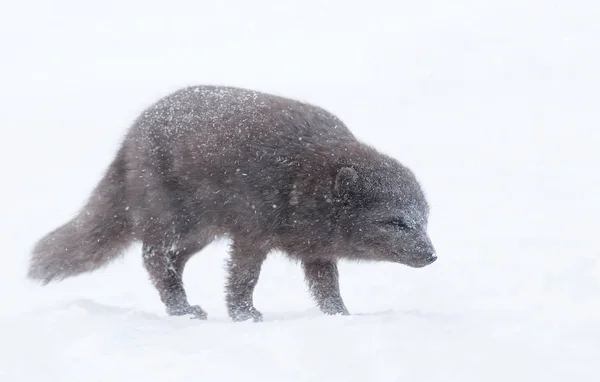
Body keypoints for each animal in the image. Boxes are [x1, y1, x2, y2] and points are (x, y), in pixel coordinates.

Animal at [27, 85, 436, 320]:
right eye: (395, 222)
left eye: (424, 220)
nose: (432, 256)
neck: (302, 177)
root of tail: (131, 137)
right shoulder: (251, 235)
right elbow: (244, 278)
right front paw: (244, 315)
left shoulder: (317, 251)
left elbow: (327, 288)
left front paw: (340, 317)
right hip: (174, 221)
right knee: (152, 257)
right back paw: (182, 309)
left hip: (199, 234)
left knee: (171, 260)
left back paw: (180, 305)